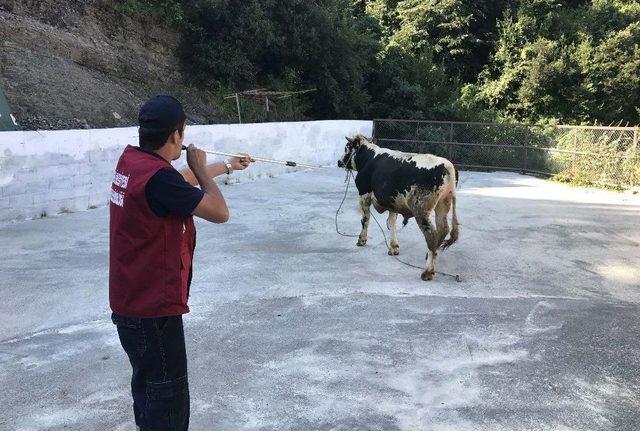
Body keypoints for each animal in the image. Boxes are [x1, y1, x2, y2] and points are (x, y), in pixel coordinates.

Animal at [338, 136, 458, 284]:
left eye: (347, 147)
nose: (339, 162)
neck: (369, 157)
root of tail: (446, 165)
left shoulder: (364, 194)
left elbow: (365, 219)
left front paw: (361, 240)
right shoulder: (392, 202)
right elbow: (392, 223)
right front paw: (393, 248)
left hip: (422, 210)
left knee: (431, 235)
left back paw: (428, 271)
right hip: (443, 205)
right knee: (443, 229)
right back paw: (431, 255)